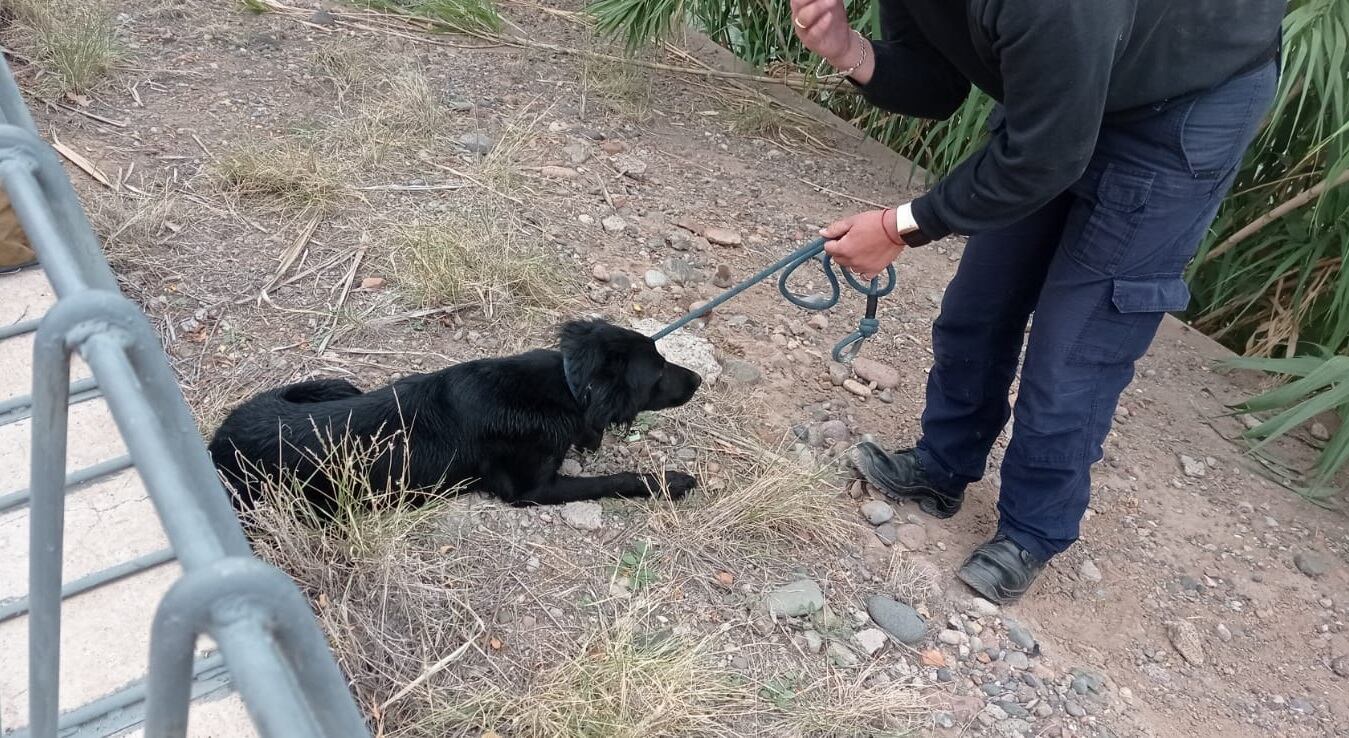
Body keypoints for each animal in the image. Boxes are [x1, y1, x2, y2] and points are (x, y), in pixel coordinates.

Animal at [207, 317, 706, 515]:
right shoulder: (530, 489)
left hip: (331, 384)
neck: (565, 384)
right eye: (659, 370)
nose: (699, 379)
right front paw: (671, 481)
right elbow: (613, 479)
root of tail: (216, 442)